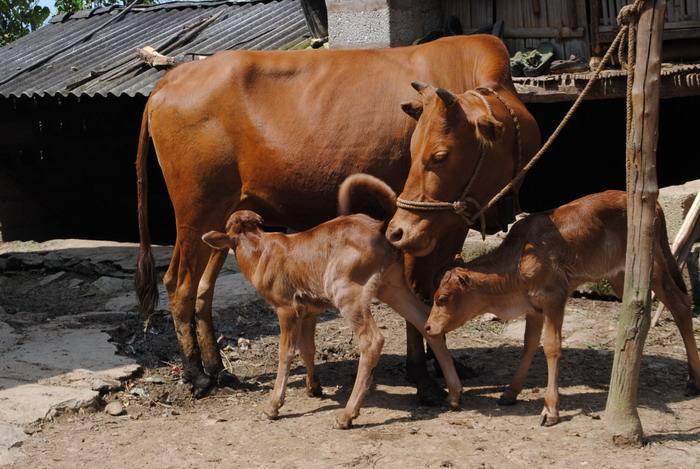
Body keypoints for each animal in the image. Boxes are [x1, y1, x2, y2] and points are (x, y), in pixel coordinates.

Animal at [134, 33, 540, 398]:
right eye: (423, 152)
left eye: (439, 155)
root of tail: (172, 78)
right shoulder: (418, 229)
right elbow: (417, 295)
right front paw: (422, 378)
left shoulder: (443, 225)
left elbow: (432, 291)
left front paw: (442, 366)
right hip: (195, 212)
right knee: (179, 284)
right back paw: (197, 375)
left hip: (223, 219)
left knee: (204, 290)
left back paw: (218, 370)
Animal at [202, 173, 462, 428]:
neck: (260, 249)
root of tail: (379, 227)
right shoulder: (309, 310)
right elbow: (308, 348)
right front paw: (313, 388)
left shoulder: (286, 308)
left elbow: (286, 353)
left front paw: (273, 406)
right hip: (392, 287)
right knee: (423, 319)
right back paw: (454, 394)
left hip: (348, 292)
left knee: (371, 340)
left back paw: (347, 414)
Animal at [422, 189, 700, 424]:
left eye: (442, 298)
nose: (428, 327)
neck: (519, 260)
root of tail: (654, 205)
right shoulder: (534, 308)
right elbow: (528, 345)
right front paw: (511, 392)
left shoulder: (554, 300)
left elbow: (552, 347)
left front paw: (550, 409)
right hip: (622, 277)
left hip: (654, 268)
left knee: (680, 305)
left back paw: (694, 379)